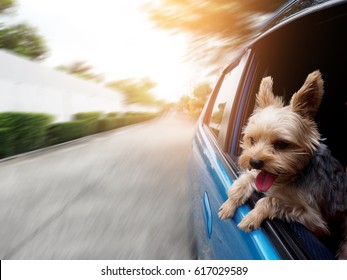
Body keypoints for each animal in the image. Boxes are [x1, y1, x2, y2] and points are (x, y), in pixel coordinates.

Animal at [220, 70, 347, 260]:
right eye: (252, 140)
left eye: (281, 144)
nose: (254, 161)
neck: (292, 177)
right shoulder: (257, 174)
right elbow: (245, 180)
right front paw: (229, 203)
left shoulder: (315, 220)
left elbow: (272, 200)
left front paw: (252, 216)